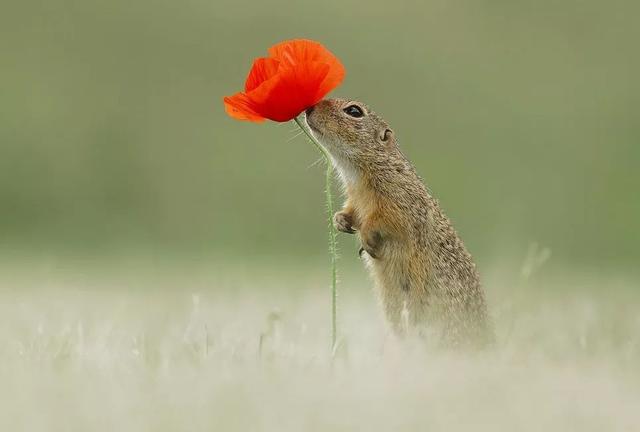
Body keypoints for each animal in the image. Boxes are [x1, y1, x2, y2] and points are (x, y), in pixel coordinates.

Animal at [308, 98, 492, 348]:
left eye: (354, 111)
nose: (308, 108)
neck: (360, 173)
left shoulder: (399, 199)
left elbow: (386, 219)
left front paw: (366, 238)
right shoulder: (355, 198)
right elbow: (352, 211)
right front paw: (340, 220)